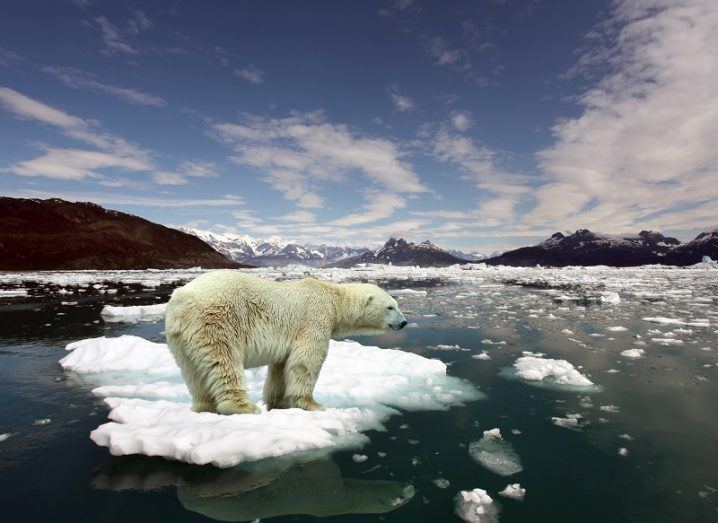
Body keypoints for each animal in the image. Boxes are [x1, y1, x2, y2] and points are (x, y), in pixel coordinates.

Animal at [165, 272, 408, 416]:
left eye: (396, 305)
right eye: (390, 307)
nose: (404, 322)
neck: (333, 299)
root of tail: (181, 300)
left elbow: (281, 367)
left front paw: (278, 402)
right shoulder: (314, 319)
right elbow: (306, 360)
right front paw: (312, 404)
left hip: (180, 338)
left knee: (192, 372)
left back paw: (203, 406)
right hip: (217, 320)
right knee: (224, 361)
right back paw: (242, 406)